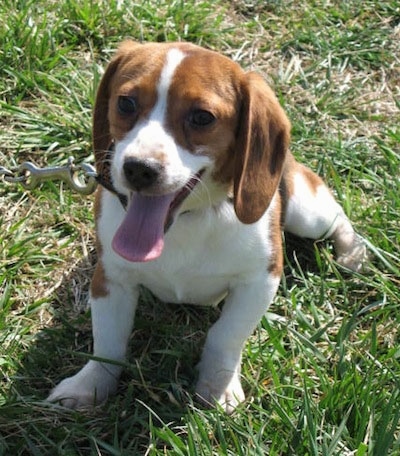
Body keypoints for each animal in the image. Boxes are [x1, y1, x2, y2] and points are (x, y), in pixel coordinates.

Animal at [47, 41, 366, 414]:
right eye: (125, 103)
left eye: (202, 117)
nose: (139, 168)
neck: (187, 220)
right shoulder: (112, 279)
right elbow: (108, 343)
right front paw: (92, 384)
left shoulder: (259, 281)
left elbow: (225, 336)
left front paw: (219, 386)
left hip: (307, 211)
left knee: (338, 215)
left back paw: (353, 253)